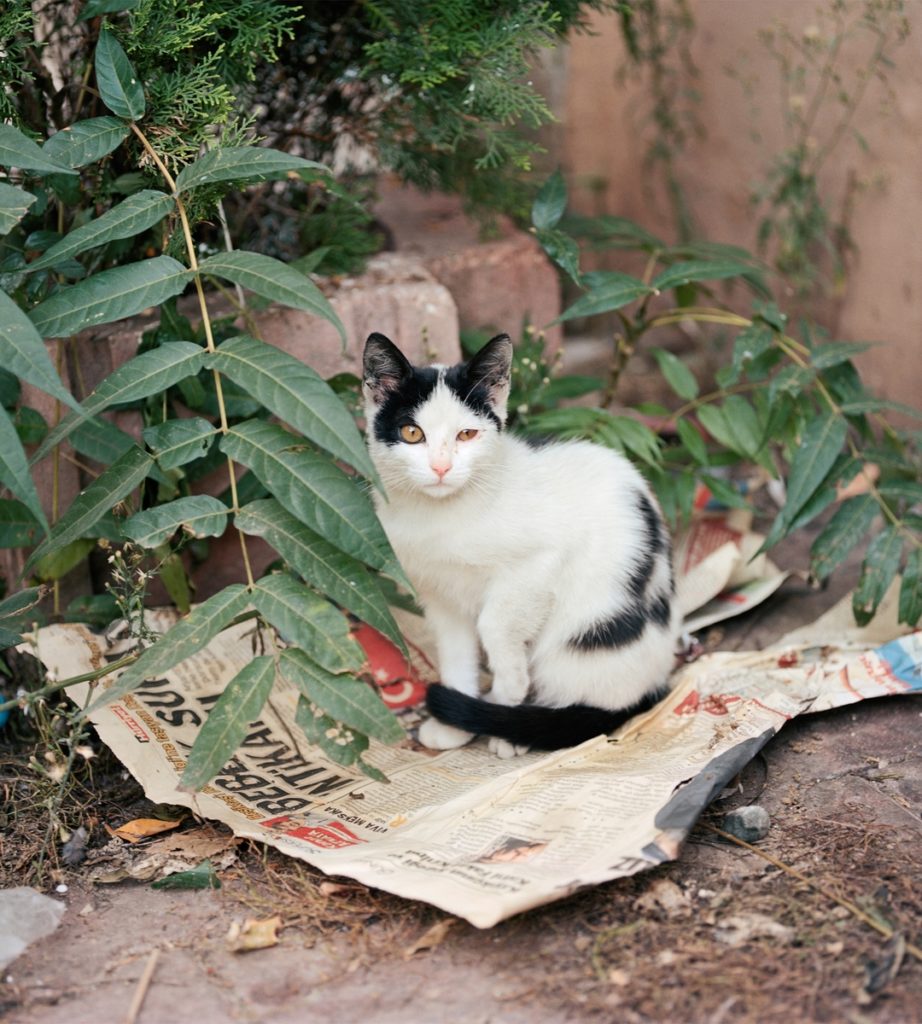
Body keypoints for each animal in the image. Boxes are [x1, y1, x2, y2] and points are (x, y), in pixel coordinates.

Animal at [364, 331, 680, 757]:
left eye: (467, 434)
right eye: (412, 433)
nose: (441, 468)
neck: (441, 515)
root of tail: (656, 684)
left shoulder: (537, 564)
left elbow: (495, 626)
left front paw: (503, 702)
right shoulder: (440, 596)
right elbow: (456, 652)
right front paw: (455, 728)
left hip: (585, 634)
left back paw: (523, 725)